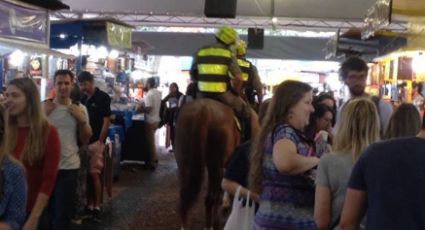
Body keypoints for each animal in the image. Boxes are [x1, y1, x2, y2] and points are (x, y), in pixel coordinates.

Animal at [173, 98, 256, 229]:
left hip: (183, 162)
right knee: (212, 197)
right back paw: (212, 224)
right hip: (216, 165)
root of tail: (203, 111)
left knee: (184, 194)